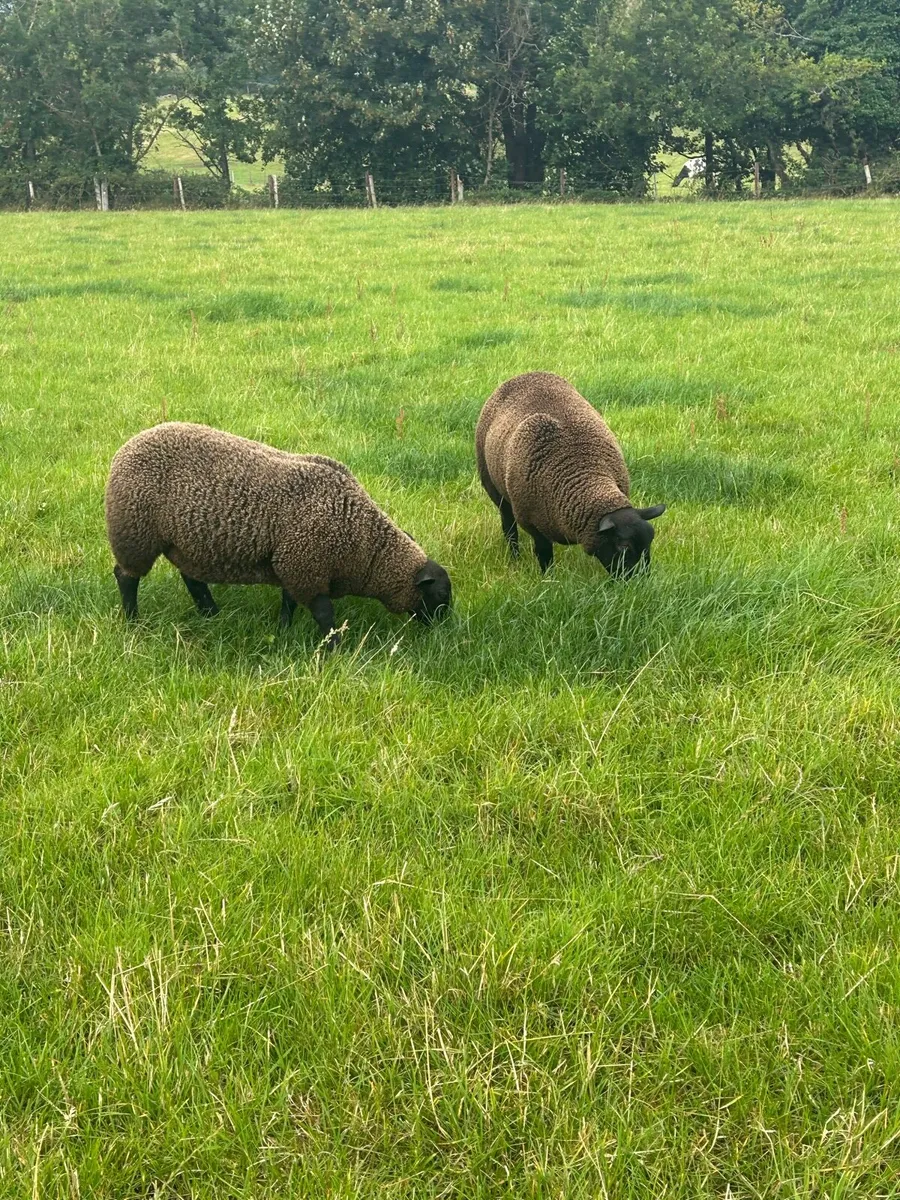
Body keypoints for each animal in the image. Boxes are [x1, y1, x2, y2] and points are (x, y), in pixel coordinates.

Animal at [105, 422, 451, 648]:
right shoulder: (305, 567)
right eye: (440, 595)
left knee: (192, 579)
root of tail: (125, 448)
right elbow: (324, 614)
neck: (366, 544)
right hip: (134, 533)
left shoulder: (293, 565)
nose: (445, 631)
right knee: (126, 577)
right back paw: (133, 620)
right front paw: (335, 647)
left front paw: (284, 630)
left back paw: (211, 613)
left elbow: (289, 603)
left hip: (187, 544)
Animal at [475, 372, 666, 577]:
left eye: (650, 542)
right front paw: (548, 578)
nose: (641, 580)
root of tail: (527, 373)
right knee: (509, 526)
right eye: (623, 547)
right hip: (494, 487)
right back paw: (515, 557)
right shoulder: (534, 526)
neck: (585, 471)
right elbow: (544, 553)